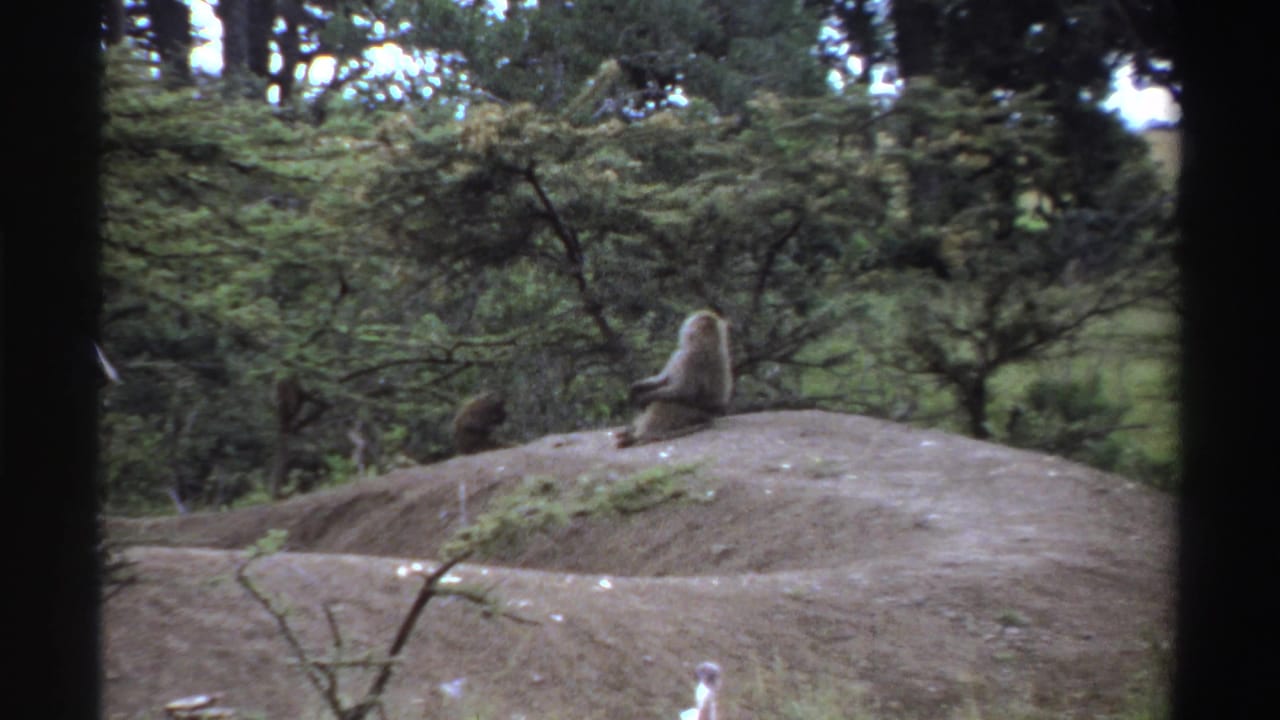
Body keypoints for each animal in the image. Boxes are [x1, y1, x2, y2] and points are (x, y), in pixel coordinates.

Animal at [616, 309, 732, 448]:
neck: (707, 344)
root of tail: (710, 417)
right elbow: (664, 380)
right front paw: (637, 388)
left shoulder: (687, 359)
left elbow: (682, 391)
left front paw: (644, 398)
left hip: (691, 415)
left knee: (664, 403)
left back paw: (639, 437)